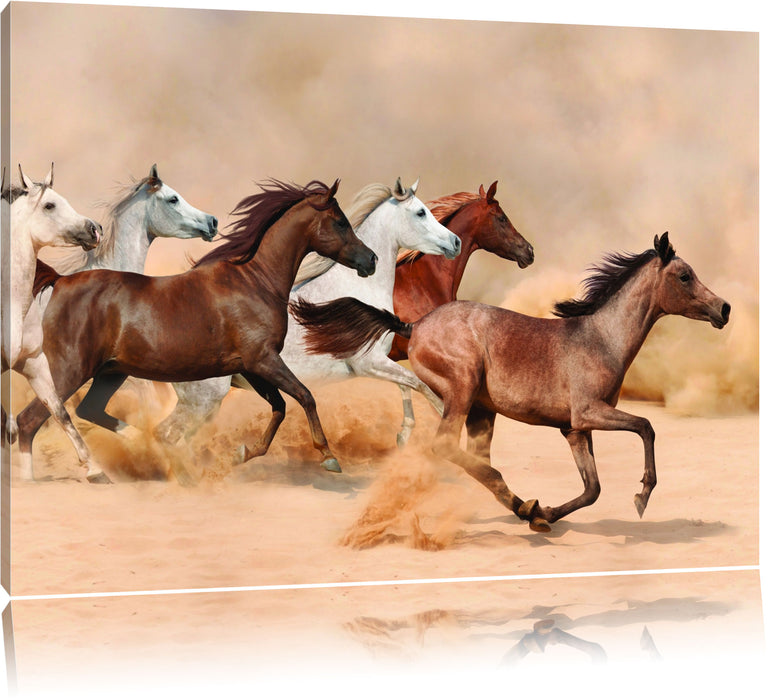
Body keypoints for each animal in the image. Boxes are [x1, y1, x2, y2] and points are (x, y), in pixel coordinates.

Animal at [16, 178, 377, 481]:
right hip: (68, 371)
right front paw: (329, 457)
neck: (255, 281)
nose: (371, 260)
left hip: (109, 373)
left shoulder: (252, 366)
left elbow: (280, 407)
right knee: (32, 420)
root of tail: (61, 282)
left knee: (86, 411)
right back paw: (84, 473)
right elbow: (305, 396)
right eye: (341, 221)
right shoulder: (264, 360)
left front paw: (241, 453)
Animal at [153, 177, 462, 451]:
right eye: (421, 212)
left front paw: (406, 437)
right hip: (204, 398)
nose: (455, 242)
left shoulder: (381, 362)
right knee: (167, 435)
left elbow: (408, 386)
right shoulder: (369, 363)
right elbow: (422, 386)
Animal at [290, 232, 731, 532]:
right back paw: (515, 501)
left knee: (473, 458)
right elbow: (647, 426)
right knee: (447, 446)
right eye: (685, 276)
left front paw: (545, 514)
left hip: (482, 412)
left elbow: (592, 488)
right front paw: (642, 496)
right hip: (463, 390)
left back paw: (522, 507)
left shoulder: (574, 429)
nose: (723, 309)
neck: (600, 338)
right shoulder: (590, 412)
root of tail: (413, 326)